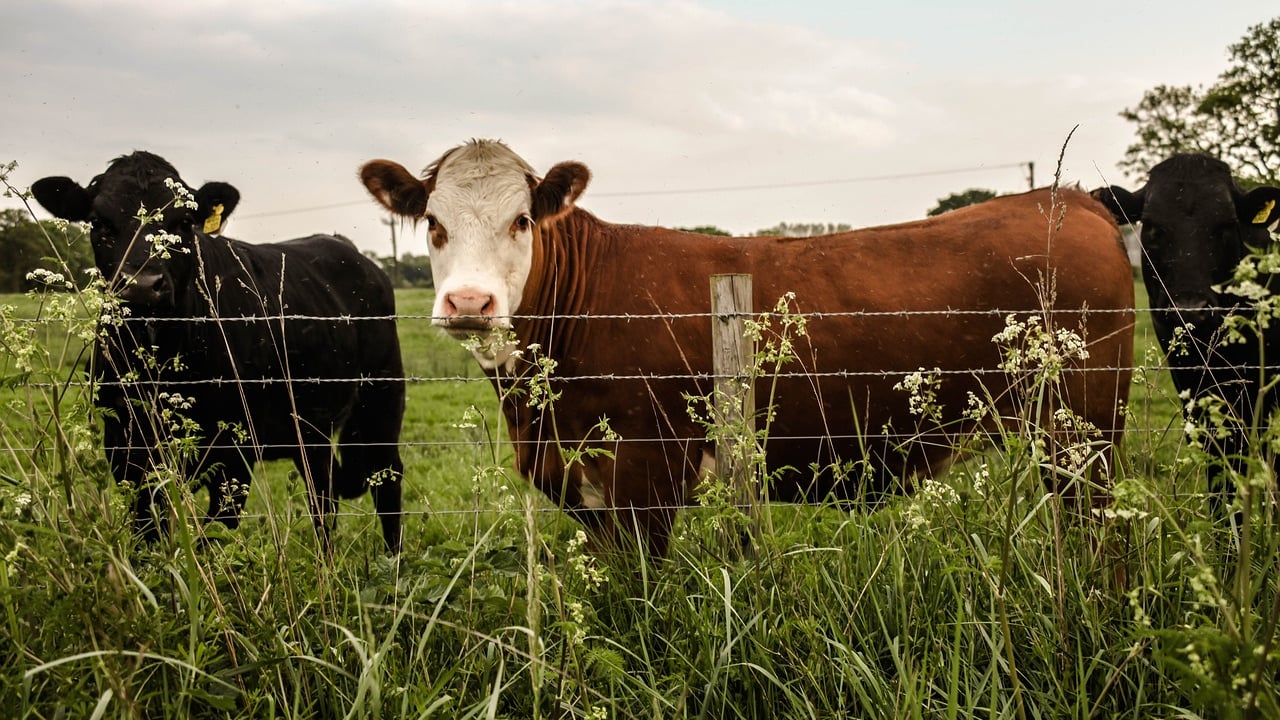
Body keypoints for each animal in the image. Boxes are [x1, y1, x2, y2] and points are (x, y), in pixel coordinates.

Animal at [31, 151, 406, 553]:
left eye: (183, 223)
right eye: (99, 222)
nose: (143, 285)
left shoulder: (232, 452)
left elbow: (215, 531)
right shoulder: (124, 443)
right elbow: (146, 526)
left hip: (381, 399)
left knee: (385, 477)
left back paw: (392, 559)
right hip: (310, 426)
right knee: (323, 493)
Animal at [361, 139, 1135, 557]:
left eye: (522, 220)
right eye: (432, 222)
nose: (469, 304)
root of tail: (1065, 198)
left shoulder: (648, 472)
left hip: (1083, 430)